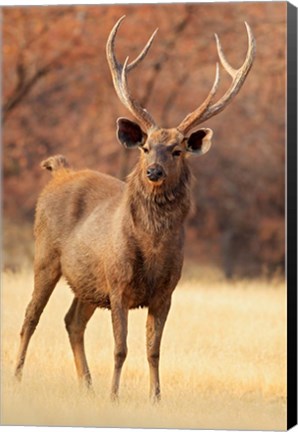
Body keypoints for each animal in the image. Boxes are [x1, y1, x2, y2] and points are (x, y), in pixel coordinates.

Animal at [14, 16, 256, 402]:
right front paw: (115, 396)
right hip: (45, 256)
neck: (153, 249)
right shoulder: (118, 283)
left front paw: (155, 398)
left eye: (177, 150)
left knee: (72, 320)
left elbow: (153, 350)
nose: (153, 171)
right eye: (145, 147)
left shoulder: (166, 292)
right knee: (30, 317)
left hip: (87, 282)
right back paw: (17, 378)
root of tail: (59, 171)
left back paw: (87, 385)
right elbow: (120, 348)